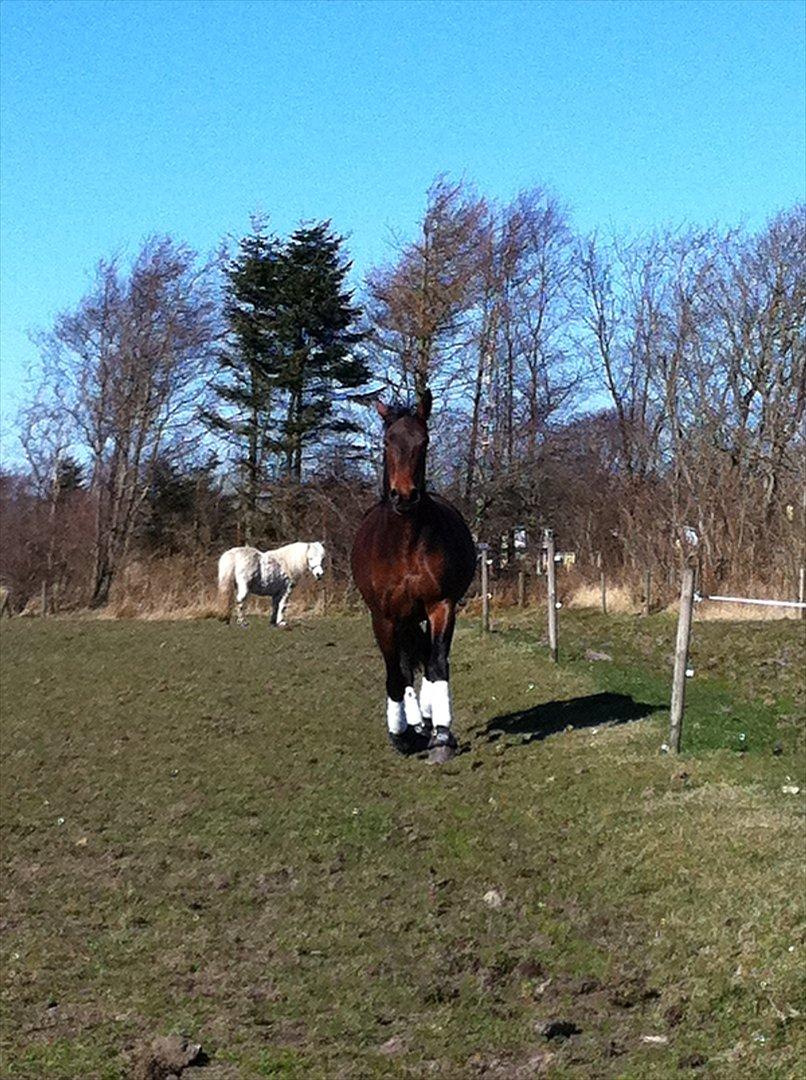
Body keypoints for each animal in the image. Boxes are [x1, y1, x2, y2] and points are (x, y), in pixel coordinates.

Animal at [352, 393, 477, 764]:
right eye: (387, 442)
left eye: (423, 441)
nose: (404, 495)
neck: (405, 543)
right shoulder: (384, 617)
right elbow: (396, 674)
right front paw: (401, 735)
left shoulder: (441, 606)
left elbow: (436, 665)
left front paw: (442, 734)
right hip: (403, 619)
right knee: (407, 666)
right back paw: (413, 722)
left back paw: (427, 719)